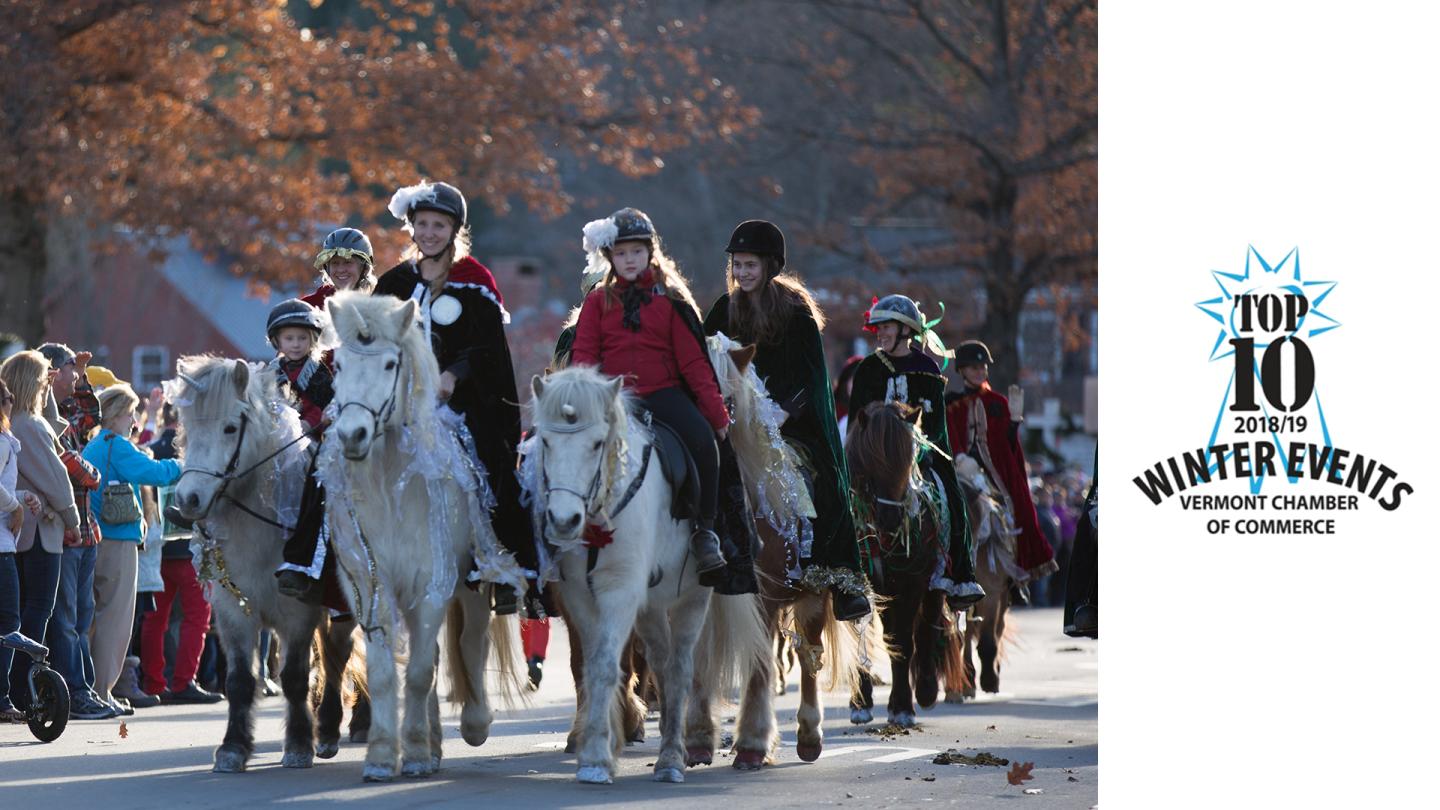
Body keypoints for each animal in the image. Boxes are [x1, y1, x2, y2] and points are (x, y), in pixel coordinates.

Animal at [169, 353, 365, 766]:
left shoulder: (297, 614)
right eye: (187, 426)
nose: (188, 500)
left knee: (341, 654)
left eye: (230, 427)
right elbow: (240, 681)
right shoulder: (233, 614)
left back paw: (341, 726)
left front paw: (299, 744)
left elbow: (294, 677)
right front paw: (233, 748)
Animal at [318, 289, 521, 778]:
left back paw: (472, 724)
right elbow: (387, 673)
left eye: (391, 364)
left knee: (470, 642)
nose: (352, 435)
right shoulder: (371, 585)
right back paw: (432, 745)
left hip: (469, 580)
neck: (393, 488)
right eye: (340, 365)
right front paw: (381, 754)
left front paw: (410, 751)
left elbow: (420, 671)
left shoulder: (433, 583)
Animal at [529, 366, 771, 784]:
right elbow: (591, 665)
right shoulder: (579, 596)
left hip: (693, 597)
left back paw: (673, 757)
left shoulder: (620, 591)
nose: (563, 521)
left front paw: (597, 757)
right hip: (653, 606)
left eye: (597, 443)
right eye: (545, 441)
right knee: (661, 663)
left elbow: (606, 665)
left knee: (680, 667)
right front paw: (596, 747)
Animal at [691, 334, 858, 760]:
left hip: (812, 592)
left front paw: (752, 742)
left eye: (728, 401)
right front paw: (696, 737)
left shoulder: (764, 599)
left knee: (808, 653)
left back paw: (810, 734)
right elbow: (696, 658)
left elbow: (759, 662)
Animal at [840, 400, 956, 720]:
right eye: (869, 461)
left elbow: (904, 639)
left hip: (933, 582)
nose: (891, 520)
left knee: (928, 625)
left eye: (909, 463)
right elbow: (861, 634)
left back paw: (926, 689)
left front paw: (903, 705)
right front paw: (860, 701)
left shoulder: (912, 582)